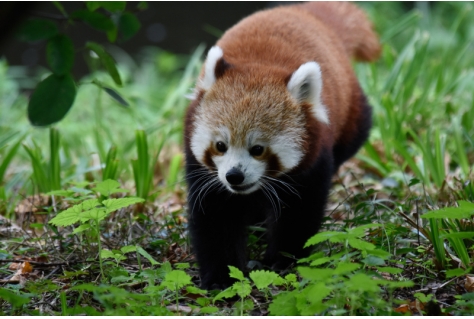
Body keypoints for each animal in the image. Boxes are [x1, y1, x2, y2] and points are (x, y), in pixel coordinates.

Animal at [183, 1, 380, 290]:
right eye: (220, 145)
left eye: (258, 149)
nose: (234, 176)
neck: (260, 64)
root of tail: (305, 12)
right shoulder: (204, 170)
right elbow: (216, 218)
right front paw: (221, 276)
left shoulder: (312, 157)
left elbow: (297, 213)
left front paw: (281, 260)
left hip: (352, 114)